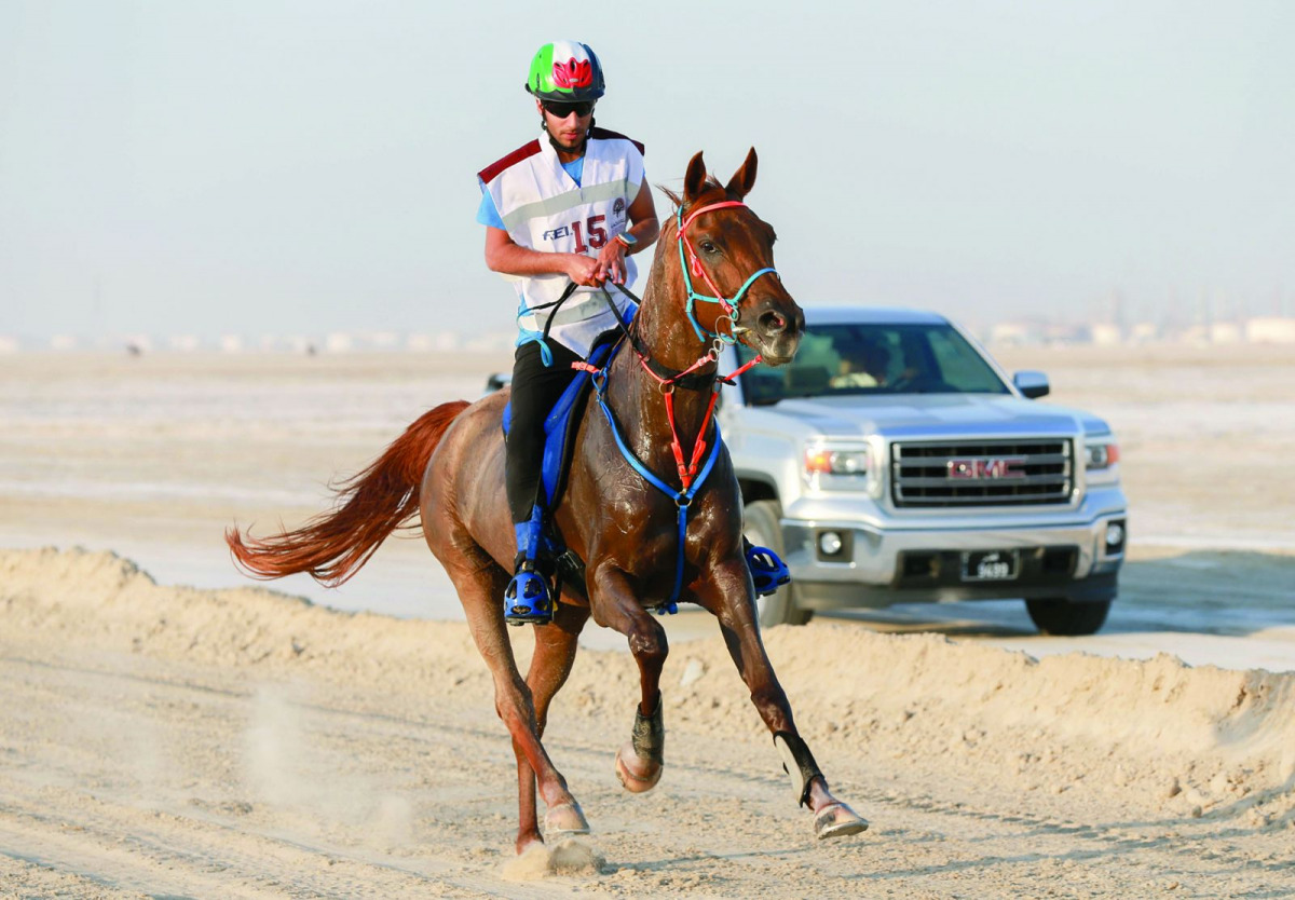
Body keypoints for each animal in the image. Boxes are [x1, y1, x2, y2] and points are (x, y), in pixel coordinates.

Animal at [226, 149, 869, 855]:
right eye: (708, 242)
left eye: (768, 234)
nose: (782, 322)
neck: (661, 426)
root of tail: (455, 425)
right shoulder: (611, 582)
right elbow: (651, 644)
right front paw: (641, 759)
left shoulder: (725, 575)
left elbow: (766, 686)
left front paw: (824, 799)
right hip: (476, 579)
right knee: (511, 698)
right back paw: (562, 804)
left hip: (563, 617)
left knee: (532, 705)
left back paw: (536, 839)